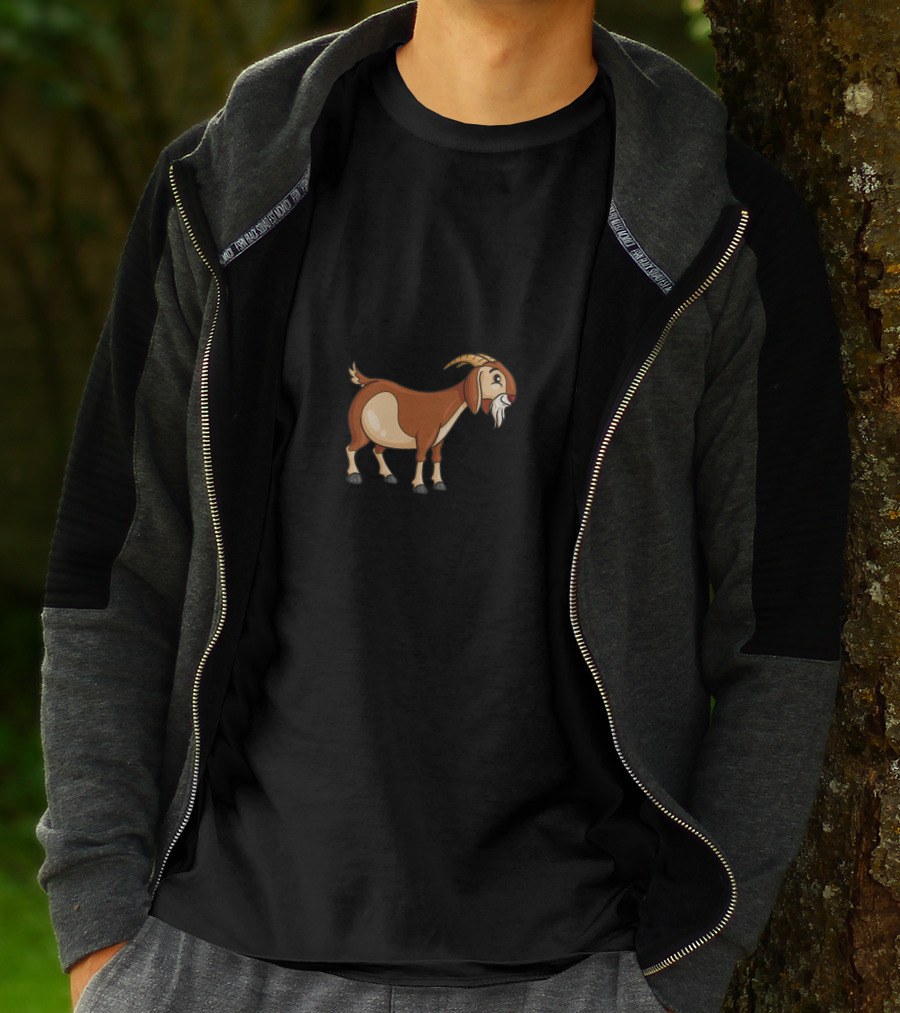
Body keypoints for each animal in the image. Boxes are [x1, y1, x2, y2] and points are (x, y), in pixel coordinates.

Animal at [345, 353, 517, 493]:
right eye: (497, 378)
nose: (512, 398)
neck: (445, 405)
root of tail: (368, 384)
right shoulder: (425, 436)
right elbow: (421, 457)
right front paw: (419, 485)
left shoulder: (439, 440)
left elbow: (437, 458)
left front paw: (439, 483)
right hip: (359, 429)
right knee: (351, 448)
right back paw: (354, 474)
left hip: (384, 436)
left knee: (377, 450)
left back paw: (388, 475)